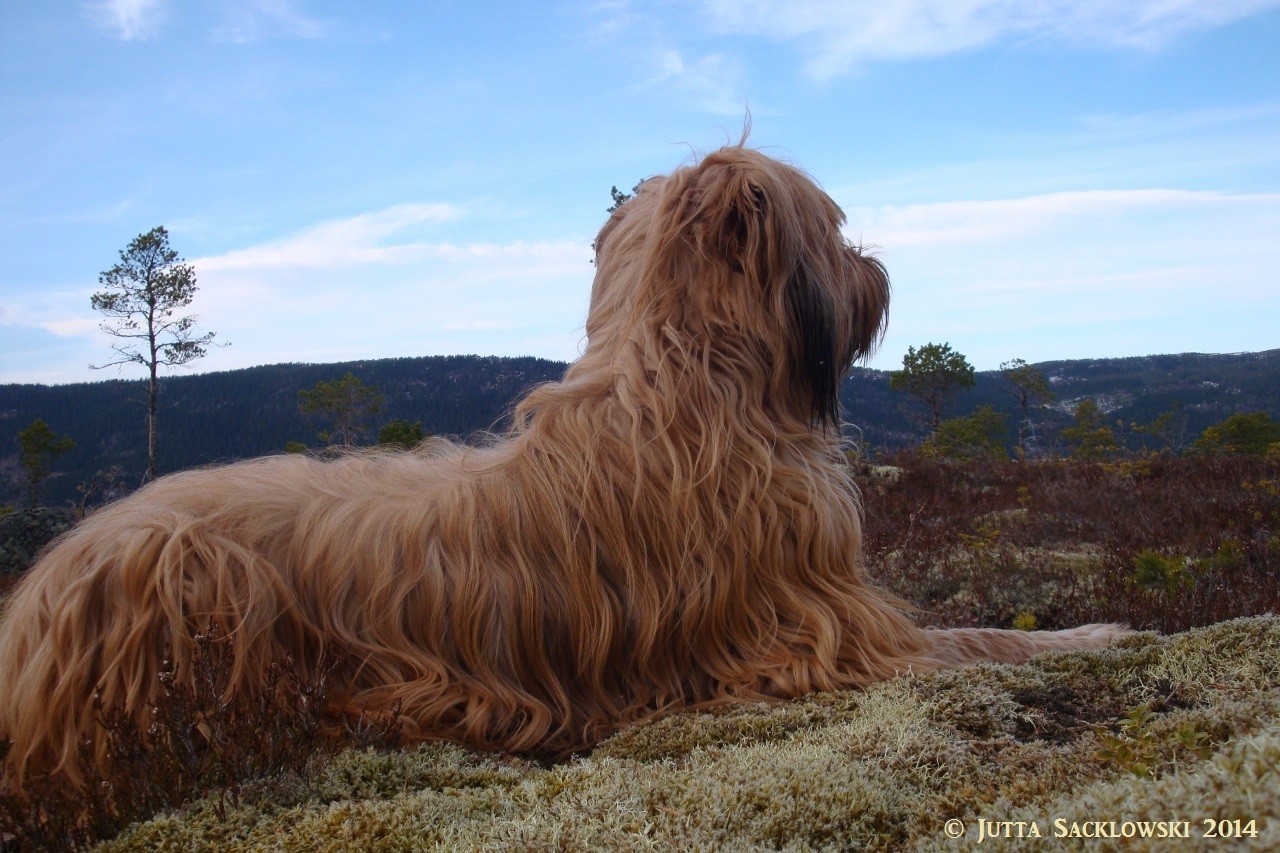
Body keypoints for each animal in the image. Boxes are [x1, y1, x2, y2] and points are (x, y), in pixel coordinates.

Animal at [0, 142, 1126, 788]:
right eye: (836, 230)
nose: (875, 269)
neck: (687, 378)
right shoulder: (832, 632)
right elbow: (982, 638)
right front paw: (1096, 630)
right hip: (189, 577)